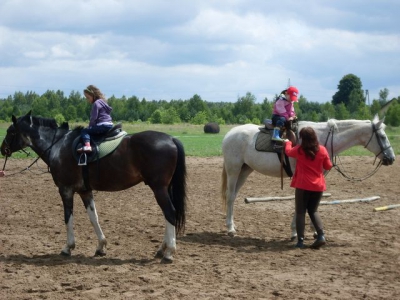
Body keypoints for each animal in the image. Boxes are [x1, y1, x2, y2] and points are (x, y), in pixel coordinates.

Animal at [1, 112, 188, 262]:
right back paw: (162, 249)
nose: (3, 149)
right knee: (167, 215)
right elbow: (94, 217)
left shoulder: (65, 190)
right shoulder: (85, 191)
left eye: (11, 132)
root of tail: (171, 138)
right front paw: (101, 246)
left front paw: (68, 247)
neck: (58, 146)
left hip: (159, 188)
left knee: (170, 212)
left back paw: (169, 252)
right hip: (163, 188)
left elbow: (68, 217)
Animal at [220, 115, 396, 239]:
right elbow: (302, 202)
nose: (391, 158)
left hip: (245, 170)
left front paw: (314, 230)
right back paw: (230, 228)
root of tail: (229, 134)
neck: (318, 140)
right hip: (234, 170)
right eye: (382, 136)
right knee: (230, 196)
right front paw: (296, 232)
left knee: (233, 195)